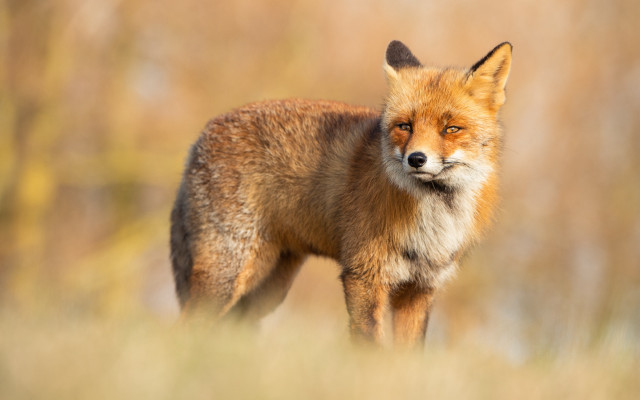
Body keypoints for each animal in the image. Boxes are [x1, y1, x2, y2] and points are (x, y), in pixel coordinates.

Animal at [170, 40, 512, 346]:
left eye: (451, 128)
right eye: (405, 126)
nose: (416, 159)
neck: (435, 214)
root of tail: (201, 136)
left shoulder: (420, 287)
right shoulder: (363, 275)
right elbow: (368, 345)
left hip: (268, 288)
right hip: (228, 274)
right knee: (186, 327)